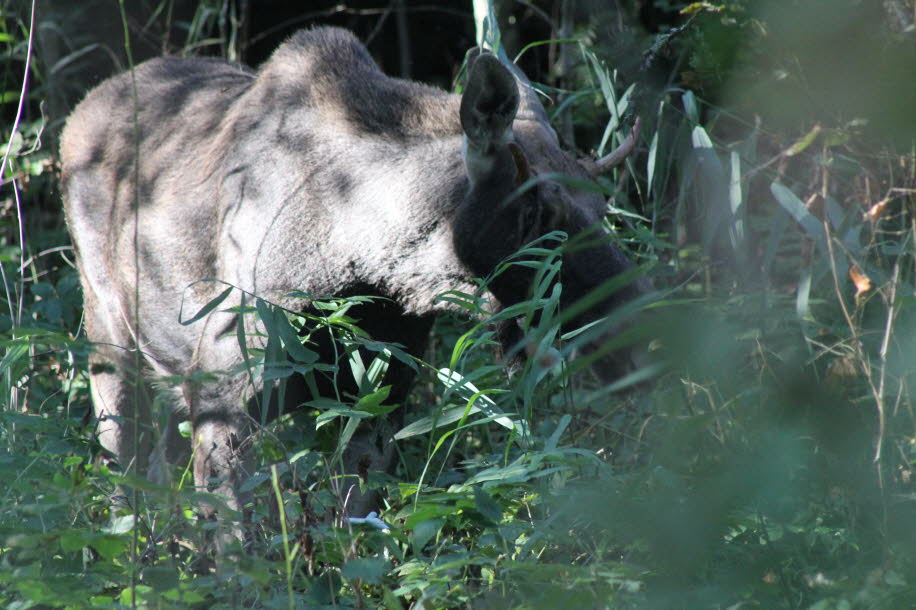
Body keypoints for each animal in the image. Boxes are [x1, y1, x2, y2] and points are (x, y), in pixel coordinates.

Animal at [60, 26, 644, 536]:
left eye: (604, 206)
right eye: (533, 212)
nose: (631, 325)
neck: (365, 263)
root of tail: (78, 114)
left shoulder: (378, 396)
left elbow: (360, 522)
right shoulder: (221, 387)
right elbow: (235, 541)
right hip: (108, 338)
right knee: (123, 476)